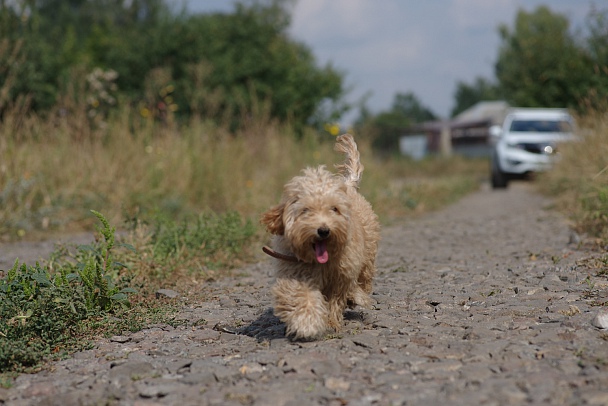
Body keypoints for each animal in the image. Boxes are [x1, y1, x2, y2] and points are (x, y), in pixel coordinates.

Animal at [262, 134, 380, 340]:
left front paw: (331, 322)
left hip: (366, 255)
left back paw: (356, 296)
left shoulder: (342, 274)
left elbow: (336, 299)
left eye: (334, 209)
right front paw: (306, 322)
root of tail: (347, 185)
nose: (323, 230)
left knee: (363, 279)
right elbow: (302, 295)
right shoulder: (296, 271)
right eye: (305, 210)